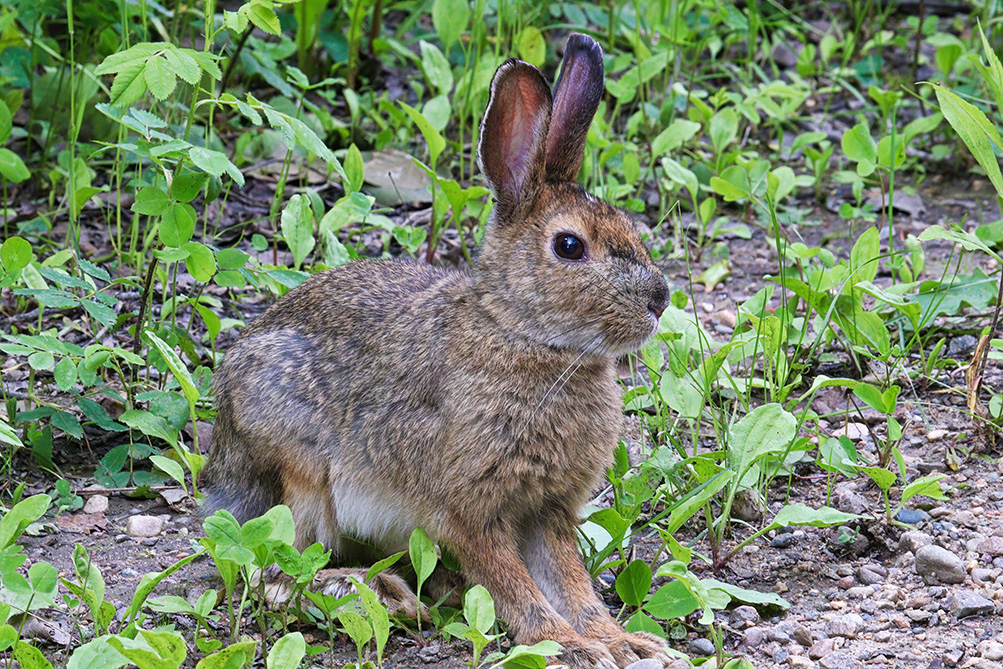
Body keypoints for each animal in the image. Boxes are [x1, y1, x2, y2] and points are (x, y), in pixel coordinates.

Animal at [201, 33, 672, 669]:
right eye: (570, 246)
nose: (660, 299)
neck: (523, 334)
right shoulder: (468, 509)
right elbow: (514, 584)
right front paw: (569, 648)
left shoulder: (547, 509)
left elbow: (570, 581)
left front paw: (622, 641)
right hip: (297, 470)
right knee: (273, 573)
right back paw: (381, 594)